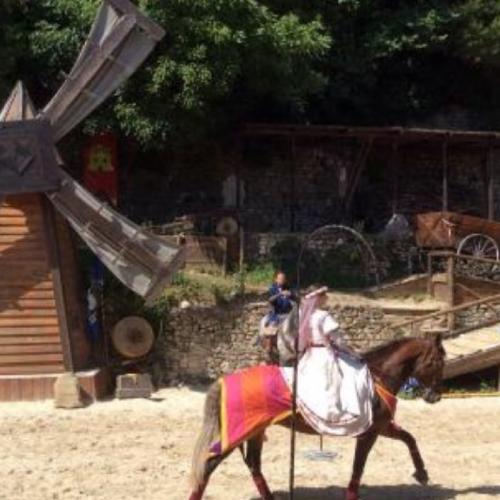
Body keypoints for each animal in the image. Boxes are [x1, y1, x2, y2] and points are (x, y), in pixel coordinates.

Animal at [188, 336, 446, 500]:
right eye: (436, 362)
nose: (435, 396)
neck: (377, 377)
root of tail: (226, 380)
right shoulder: (370, 433)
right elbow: (358, 467)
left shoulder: (382, 427)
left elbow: (409, 438)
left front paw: (422, 473)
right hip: (238, 432)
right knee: (210, 464)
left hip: (255, 430)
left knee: (253, 465)